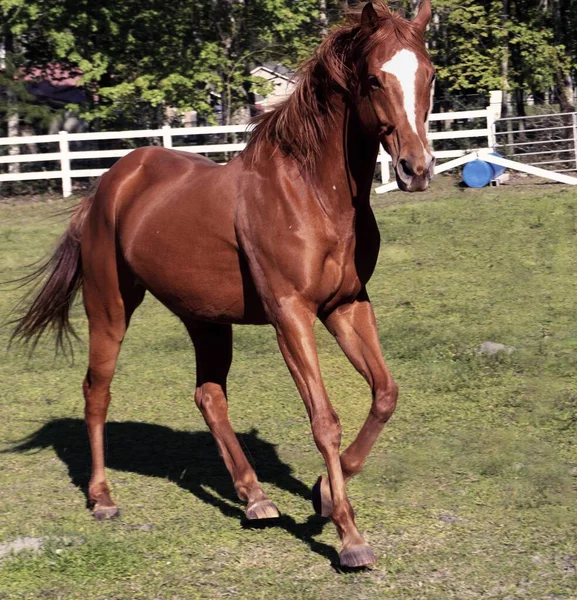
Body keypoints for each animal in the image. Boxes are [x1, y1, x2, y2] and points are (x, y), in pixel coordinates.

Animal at [14, 0, 432, 564]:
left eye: (429, 75)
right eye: (373, 79)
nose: (417, 169)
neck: (312, 195)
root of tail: (108, 184)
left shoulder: (346, 305)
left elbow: (385, 394)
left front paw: (324, 493)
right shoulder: (290, 315)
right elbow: (324, 419)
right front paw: (349, 537)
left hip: (206, 320)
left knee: (209, 396)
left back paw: (255, 498)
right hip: (110, 306)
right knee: (96, 391)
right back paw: (103, 498)